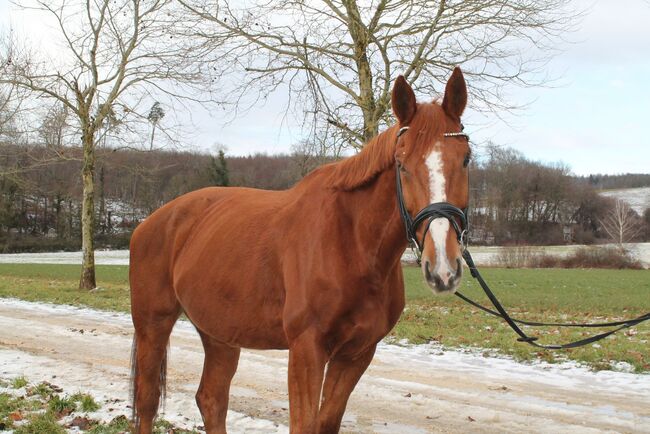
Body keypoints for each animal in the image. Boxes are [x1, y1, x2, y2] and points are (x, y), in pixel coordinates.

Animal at [129, 68, 468, 434]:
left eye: (466, 159)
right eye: (401, 164)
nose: (443, 267)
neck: (352, 245)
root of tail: (151, 222)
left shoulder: (356, 354)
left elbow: (326, 422)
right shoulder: (307, 349)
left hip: (219, 333)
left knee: (211, 399)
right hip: (153, 324)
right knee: (147, 401)